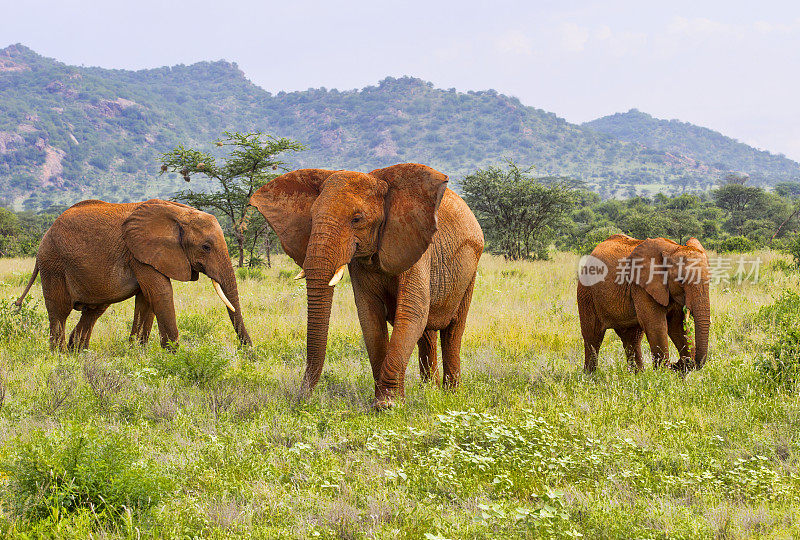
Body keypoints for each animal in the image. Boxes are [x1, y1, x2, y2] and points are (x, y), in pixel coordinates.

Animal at [14, 198, 252, 350]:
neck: (179, 213)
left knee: (93, 311)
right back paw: (59, 356)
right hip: (53, 264)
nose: (248, 353)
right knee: (59, 312)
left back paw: (78, 352)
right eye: (206, 247)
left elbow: (146, 300)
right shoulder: (139, 253)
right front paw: (173, 355)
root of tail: (47, 233)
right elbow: (161, 293)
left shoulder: (146, 255)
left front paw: (137, 351)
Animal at [250, 162, 484, 408]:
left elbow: (412, 312)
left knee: (453, 330)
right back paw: (429, 391)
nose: (302, 398)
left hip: (470, 267)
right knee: (427, 333)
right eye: (311, 218)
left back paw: (451, 395)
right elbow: (370, 317)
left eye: (357, 219)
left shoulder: (414, 245)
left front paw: (387, 405)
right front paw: (383, 401)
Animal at [576, 234, 712, 374]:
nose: (676, 363)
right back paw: (590, 376)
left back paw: (637, 375)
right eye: (681, 280)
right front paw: (663, 374)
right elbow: (656, 326)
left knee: (632, 339)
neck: (673, 248)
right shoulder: (641, 286)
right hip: (586, 294)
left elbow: (677, 326)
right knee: (593, 337)